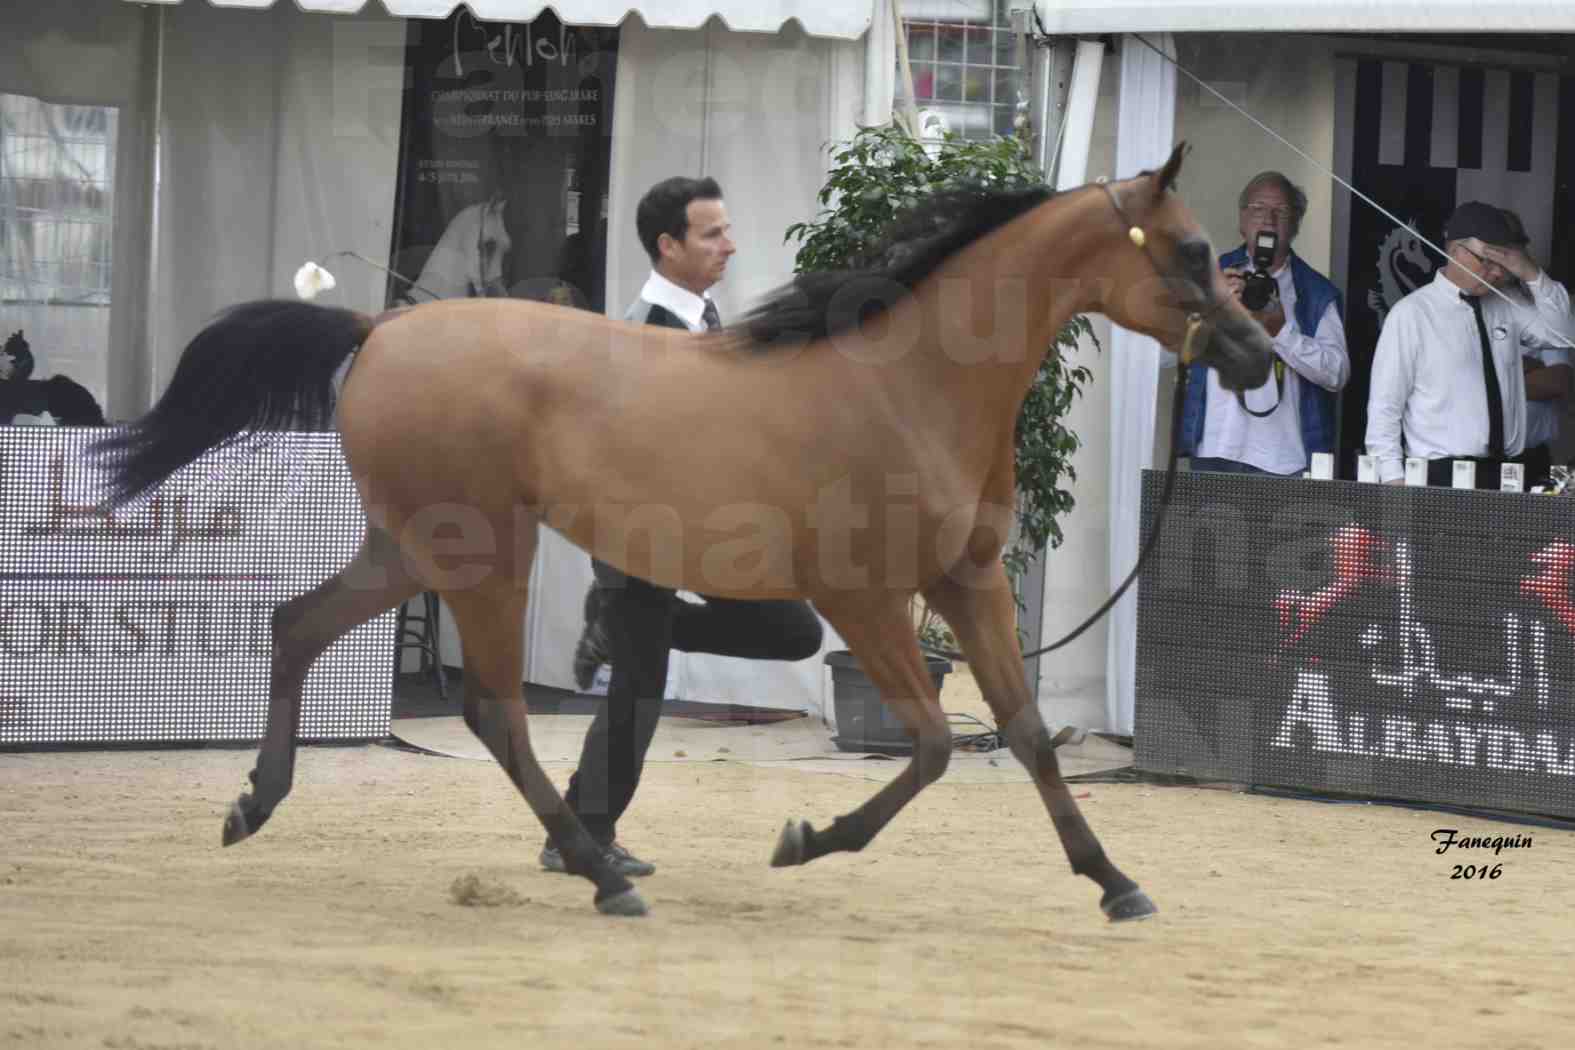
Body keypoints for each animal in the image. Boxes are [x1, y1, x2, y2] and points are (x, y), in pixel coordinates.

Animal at [89, 145, 1266, 919]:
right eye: (1192, 248)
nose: (1255, 354)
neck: (911, 385)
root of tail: (378, 327)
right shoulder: (863, 597)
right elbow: (935, 743)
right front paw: (805, 841)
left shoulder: (967, 583)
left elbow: (1021, 733)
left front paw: (1115, 883)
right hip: (482, 553)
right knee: (493, 709)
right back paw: (602, 874)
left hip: (410, 547)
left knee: (296, 624)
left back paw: (257, 804)